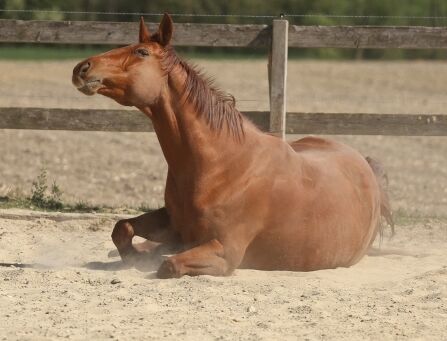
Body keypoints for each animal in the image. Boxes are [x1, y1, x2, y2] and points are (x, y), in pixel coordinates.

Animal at [72, 14, 392, 278]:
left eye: (141, 52)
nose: (81, 67)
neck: (222, 165)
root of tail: (366, 166)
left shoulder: (225, 251)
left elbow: (169, 264)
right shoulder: (173, 223)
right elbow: (121, 229)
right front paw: (133, 256)